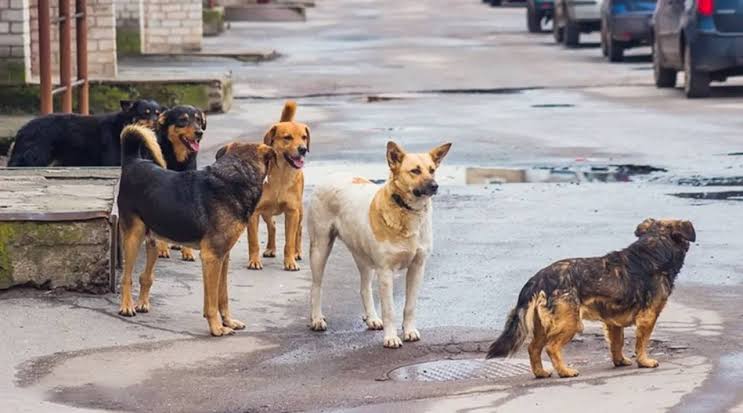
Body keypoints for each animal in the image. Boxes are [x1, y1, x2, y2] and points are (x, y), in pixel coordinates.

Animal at [8, 99, 162, 167]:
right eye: (145, 113)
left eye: (157, 113)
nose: (157, 124)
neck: (123, 125)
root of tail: (23, 129)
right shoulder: (113, 161)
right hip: (36, 157)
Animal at [117, 123, 274, 334]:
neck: (235, 177)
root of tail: (133, 161)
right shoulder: (211, 257)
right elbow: (212, 302)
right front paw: (217, 328)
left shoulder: (223, 257)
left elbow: (222, 296)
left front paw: (228, 321)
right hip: (133, 237)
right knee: (126, 277)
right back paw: (127, 306)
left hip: (154, 240)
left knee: (145, 276)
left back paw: (142, 303)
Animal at [248, 100, 310, 270]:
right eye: (287, 137)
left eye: (304, 137)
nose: (303, 149)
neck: (281, 175)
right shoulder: (254, 213)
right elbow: (253, 241)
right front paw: (254, 260)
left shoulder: (292, 212)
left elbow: (289, 241)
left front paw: (290, 261)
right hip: (266, 212)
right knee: (273, 225)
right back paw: (270, 248)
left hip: (300, 211)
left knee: (299, 230)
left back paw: (297, 252)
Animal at [306, 140, 450, 346]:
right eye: (415, 171)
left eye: (432, 170)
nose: (435, 186)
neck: (406, 210)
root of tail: (331, 175)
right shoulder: (386, 272)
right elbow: (389, 310)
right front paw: (391, 338)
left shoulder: (417, 267)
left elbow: (410, 306)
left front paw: (409, 331)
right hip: (320, 248)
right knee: (316, 286)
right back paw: (317, 318)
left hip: (363, 257)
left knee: (364, 288)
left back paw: (372, 318)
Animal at [488, 219, 696, 376]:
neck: (654, 248)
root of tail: (538, 279)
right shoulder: (648, 317)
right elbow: (642, 342)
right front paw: (644, 361)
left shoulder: (613, 322)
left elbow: (617, 343)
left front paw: (620, 361)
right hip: (570, 323)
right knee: (551, 347)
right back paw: (565, 371)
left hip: (542, 325)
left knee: (533, 348)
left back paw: (541, 373)